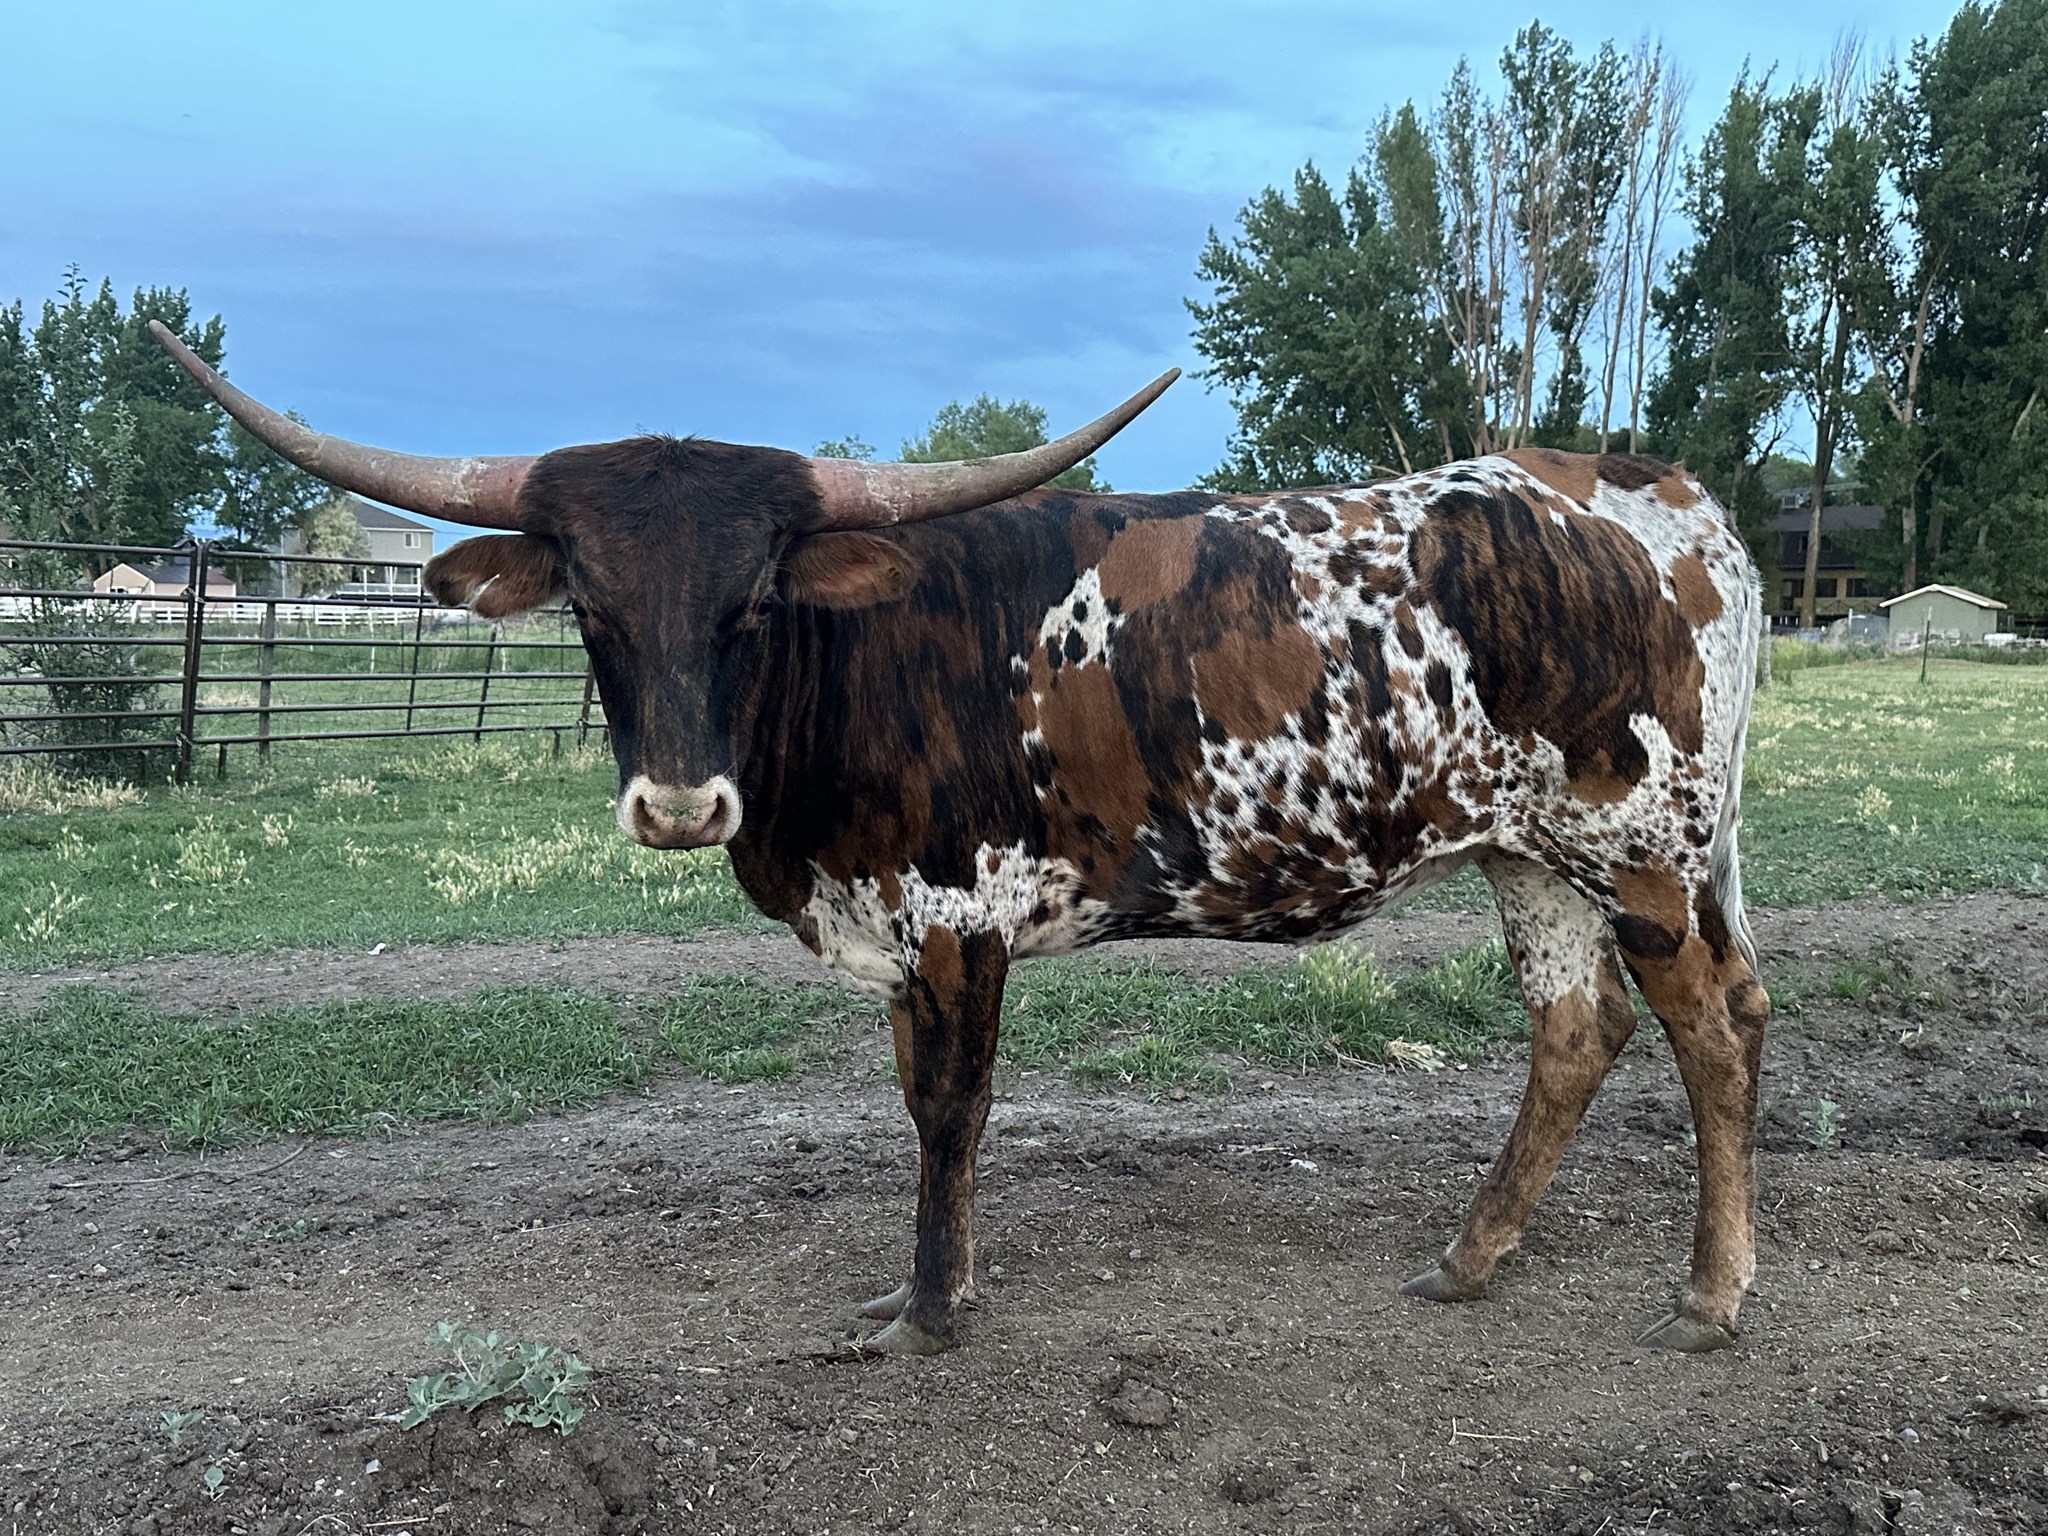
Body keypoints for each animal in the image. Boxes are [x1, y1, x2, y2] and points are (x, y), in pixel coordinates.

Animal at [149, 322, 1769, 1358]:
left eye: (755, 600)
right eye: (592, 610)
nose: (678, 806)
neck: (855, 661)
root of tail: (1651, 491)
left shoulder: (955, 915)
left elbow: (947, 1112)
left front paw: (930, 1311)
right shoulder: (888, 926)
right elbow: (922, 1102)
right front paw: (934, 1290)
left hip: (1638, 845)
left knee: (1709, 1031)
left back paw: (1709, 1295)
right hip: (1524, 850)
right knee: (1577, 1033)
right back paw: (1467, 1259)